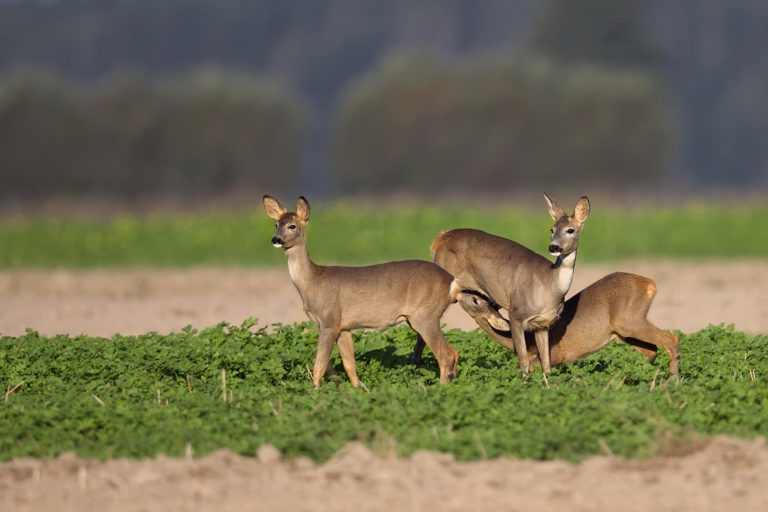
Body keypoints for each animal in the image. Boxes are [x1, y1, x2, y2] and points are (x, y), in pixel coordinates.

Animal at [260, 196, 460, 388]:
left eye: (292, 225)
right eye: (276, 224)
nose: (276, 239)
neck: (312, 281)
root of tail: (452, 281)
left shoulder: (329, 321)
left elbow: (320, 365)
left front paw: (314, 392)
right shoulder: (343, 327)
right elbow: (350, 365)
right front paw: (359, 391)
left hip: (424, 316)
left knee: (446, 355)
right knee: (454, 352)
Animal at [416, 272, 680, 376]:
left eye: (475, 300)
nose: (460, 291)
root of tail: (650, 284)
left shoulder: (556, 355)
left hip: (630, 322)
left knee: (672, 339)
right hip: (625, 332)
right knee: (651, 351)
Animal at [432, 195, 588, 372]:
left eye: (570, 230)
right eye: (552, 229)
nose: (554, 247)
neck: (549, 284)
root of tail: (440, 237)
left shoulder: (542, 324)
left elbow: (546, 362)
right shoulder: (516, 315)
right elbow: (523, 361)